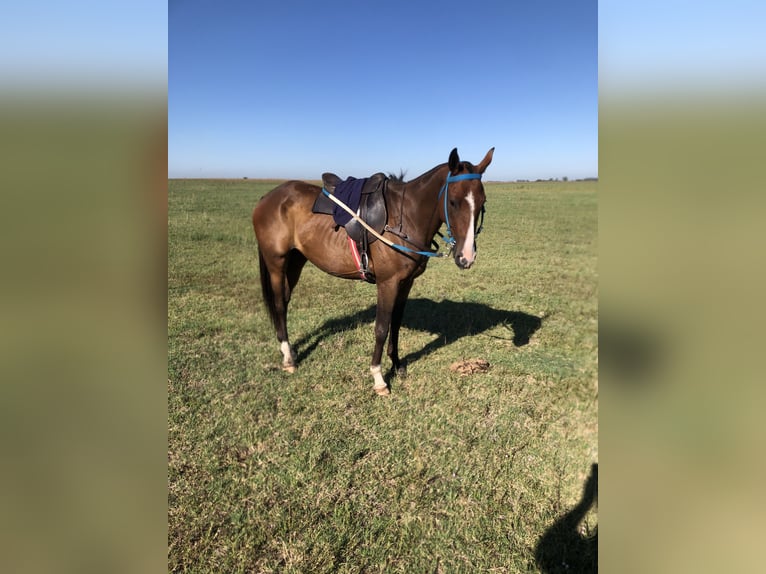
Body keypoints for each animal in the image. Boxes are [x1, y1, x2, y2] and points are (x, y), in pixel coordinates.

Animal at [250, 147, 492, 396]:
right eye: (453, 202)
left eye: (482, 202)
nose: (466, 257)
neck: (404, 218)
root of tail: (268, 198)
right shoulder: (387, 283)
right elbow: (382, 328)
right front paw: (378, 377)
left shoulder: (405, 283)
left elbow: (396, 323)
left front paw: (397, 364)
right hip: (276, 262)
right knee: (279, 303)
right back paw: (288, 358)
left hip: (296, 260)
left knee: (285, 300)